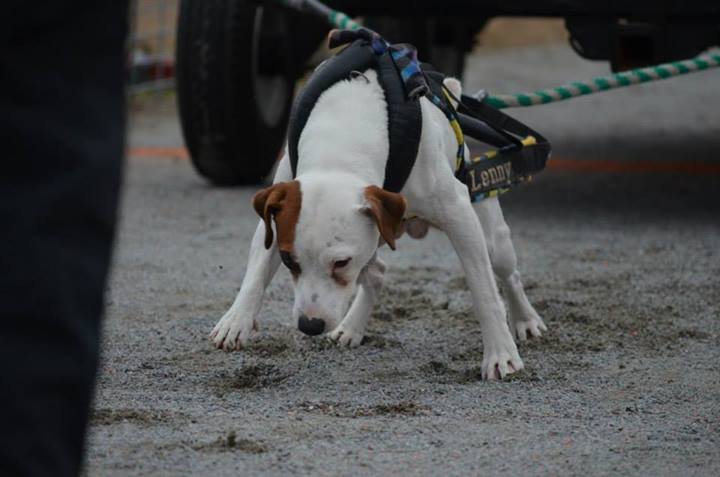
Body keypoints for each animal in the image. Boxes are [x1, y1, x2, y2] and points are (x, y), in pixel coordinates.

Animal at [211, 69, 548, 380]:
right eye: (288, 261)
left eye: (341, 262)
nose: (310, 325)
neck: (341, 141)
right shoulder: (273, 221)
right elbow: (256, 273)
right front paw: (236, 319)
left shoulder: (459, 214)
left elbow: (484, 292)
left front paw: (500, 353)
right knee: (376, 274)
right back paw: (351, 327)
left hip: (491, 237)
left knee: (509, 275)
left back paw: (525, 320)